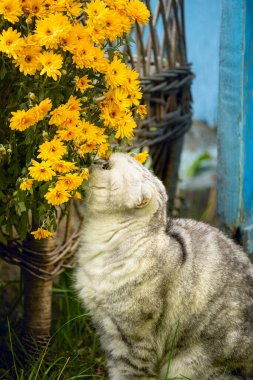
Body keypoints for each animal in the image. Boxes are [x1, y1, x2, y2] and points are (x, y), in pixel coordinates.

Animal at [75, 152, 253, 380]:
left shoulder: (133, 340)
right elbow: (115, 368)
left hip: (186, 364)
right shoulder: (107, 331)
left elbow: (128, 372)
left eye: (107, 167)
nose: (96, 160)